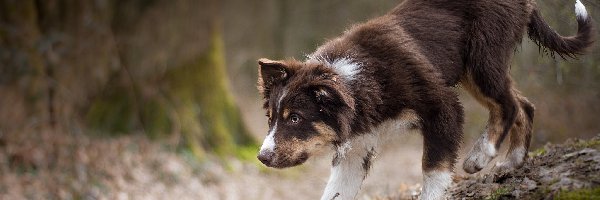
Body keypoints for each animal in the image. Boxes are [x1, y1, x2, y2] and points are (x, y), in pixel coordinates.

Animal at [256, 0, 592, 199]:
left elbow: (434, 169)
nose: (262, 157)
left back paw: (479, 157)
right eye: (271, 119)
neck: (354, 80)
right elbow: (338, 190)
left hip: (483, 59)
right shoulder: (358, 144)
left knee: (508, 105)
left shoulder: (443, 106)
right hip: (472, 68)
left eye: (295, 118)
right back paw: (512, 161)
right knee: (524, 104)